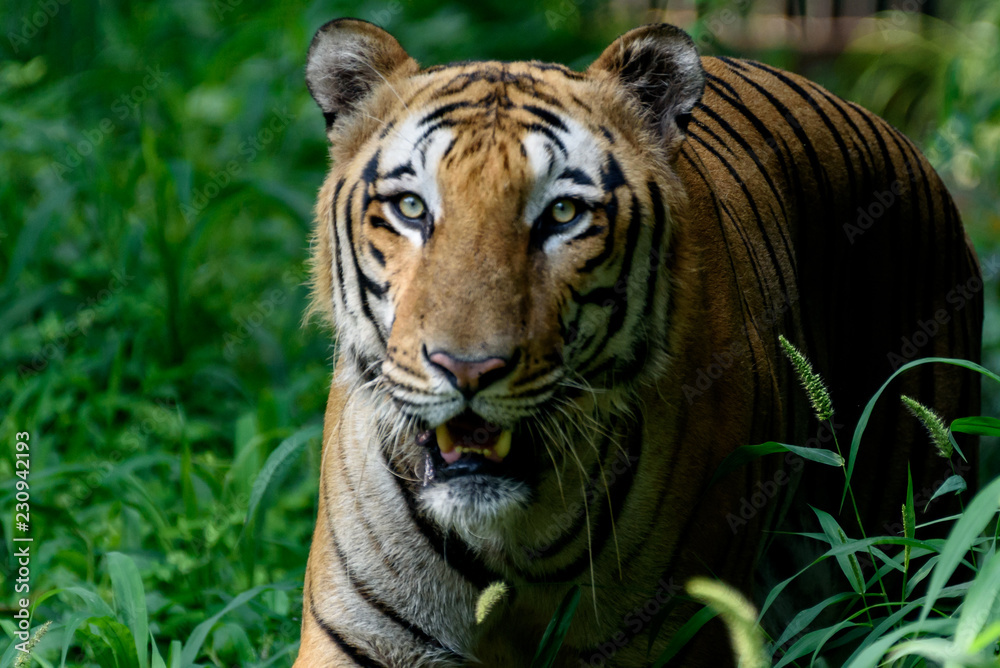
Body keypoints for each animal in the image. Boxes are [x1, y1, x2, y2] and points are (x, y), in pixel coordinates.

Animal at [294, 18, 982, 667]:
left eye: (563, 214)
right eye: (411, 207)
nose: (467, 368)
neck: (511, 531)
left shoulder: (667, 634)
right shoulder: (363, 636)